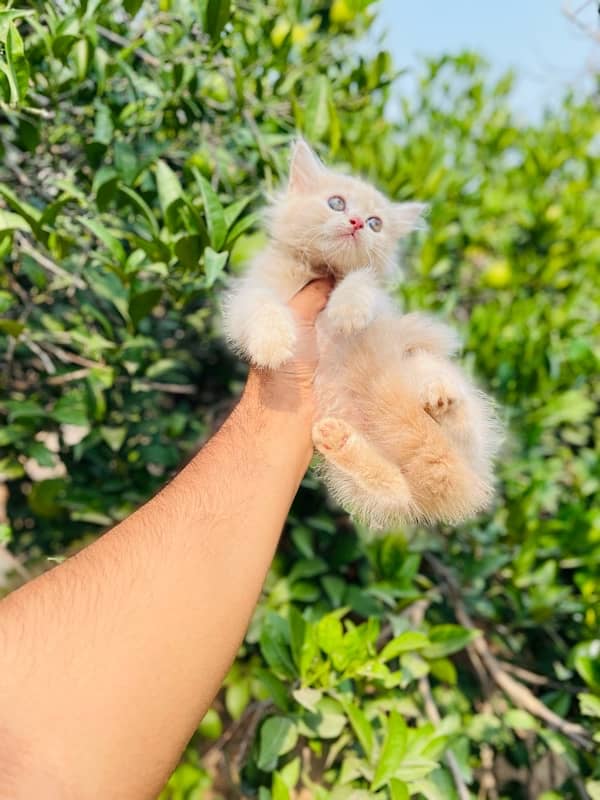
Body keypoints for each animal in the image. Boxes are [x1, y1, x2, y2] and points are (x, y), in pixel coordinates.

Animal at [224, 142, 502, 532]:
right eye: (337, 203)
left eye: (376, 223)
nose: (357, 223)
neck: (322, 269)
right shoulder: (247, 298)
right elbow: (262, 305)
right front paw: (272, 343)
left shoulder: (380, 301)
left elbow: (361, 281)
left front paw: (347, 311)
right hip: (359, 479)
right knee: (397, 490)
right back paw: (340, 440)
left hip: (421, 364)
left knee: (464, 432)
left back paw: (440, 396)